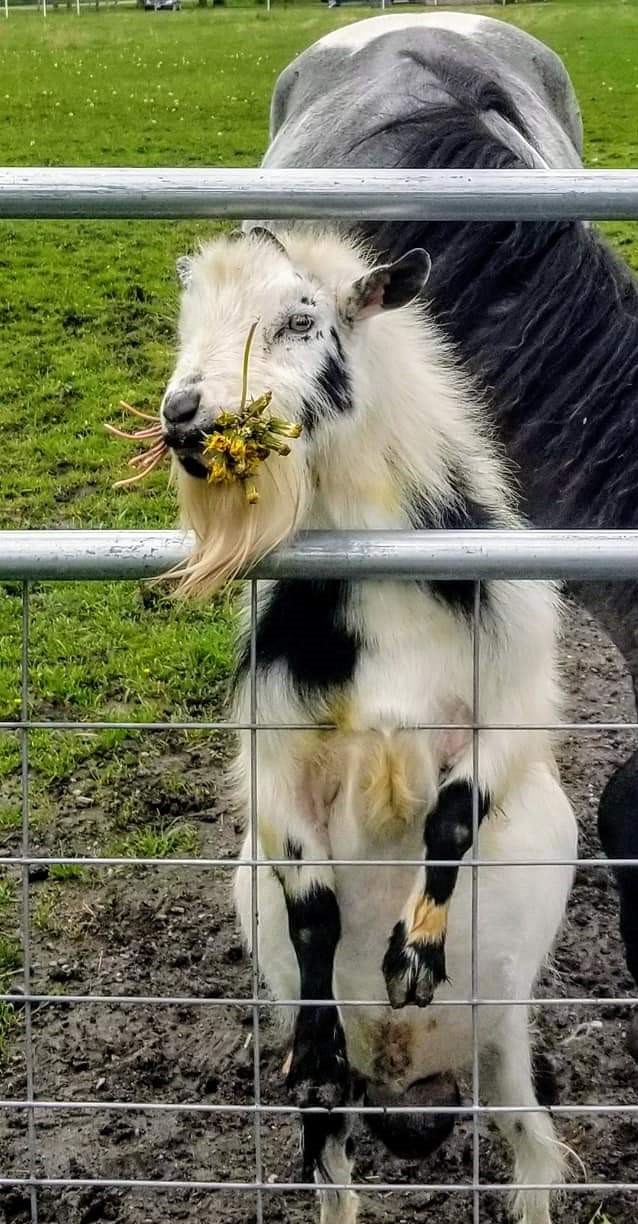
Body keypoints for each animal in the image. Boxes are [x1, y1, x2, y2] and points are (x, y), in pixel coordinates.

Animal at [160, 227, 577, 1224]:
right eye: (188, 315)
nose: (183, 417)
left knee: (534, 1157)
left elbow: (454, 817)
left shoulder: (511, 696)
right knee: (336, 1181)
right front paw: (315, 1045)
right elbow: (313, 905)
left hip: (505, 1043)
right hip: (349, 1115)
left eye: (301, 319)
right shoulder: (275, 752)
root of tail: (409, 1092)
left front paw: (416, 955)